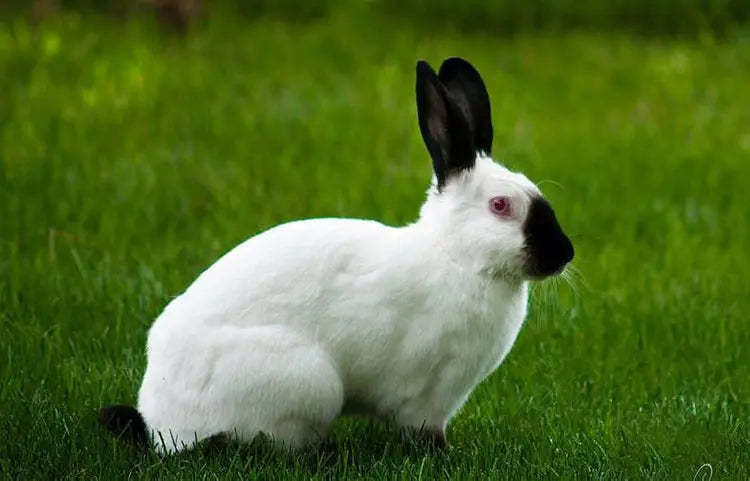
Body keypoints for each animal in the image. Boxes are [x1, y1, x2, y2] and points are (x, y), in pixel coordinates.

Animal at [99, 57, 574, 454]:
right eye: (500, 206)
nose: (564, 254)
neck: (456, 257)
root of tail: (160, 422)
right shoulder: (427, 393)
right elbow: (423, 429)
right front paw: (443, 455)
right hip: (312, 385)